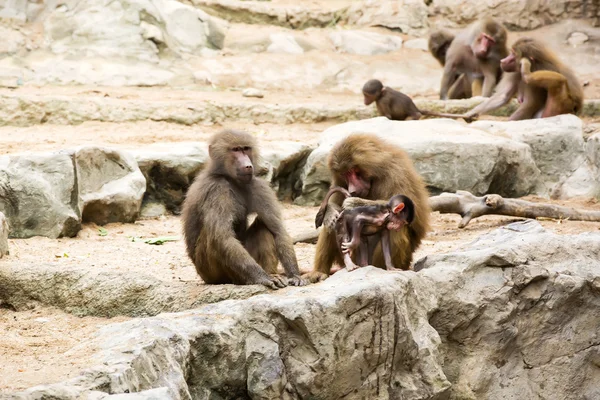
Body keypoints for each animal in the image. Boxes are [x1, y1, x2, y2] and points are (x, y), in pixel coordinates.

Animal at [182, 130, 304, 290]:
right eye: (235, 150)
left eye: (246, 149)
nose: (247, 166)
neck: (229, 178)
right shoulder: (217, 189)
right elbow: (223, 237)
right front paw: (263, 277)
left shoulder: (258, 186)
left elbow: (278, 231)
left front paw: (294, 275)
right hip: (212, 273)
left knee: (264, 226)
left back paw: (272, 273)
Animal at [304, 133, 432, 282]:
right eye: (344, 174)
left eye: (353, 171)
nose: (352, 190)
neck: (375, 175)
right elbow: (334, 210)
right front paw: (330, 211)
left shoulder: (396, 173)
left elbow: (411, 212)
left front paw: (355, 202)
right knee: (332, 225)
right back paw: (319, 272)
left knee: (398, 230)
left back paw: (382, 268)